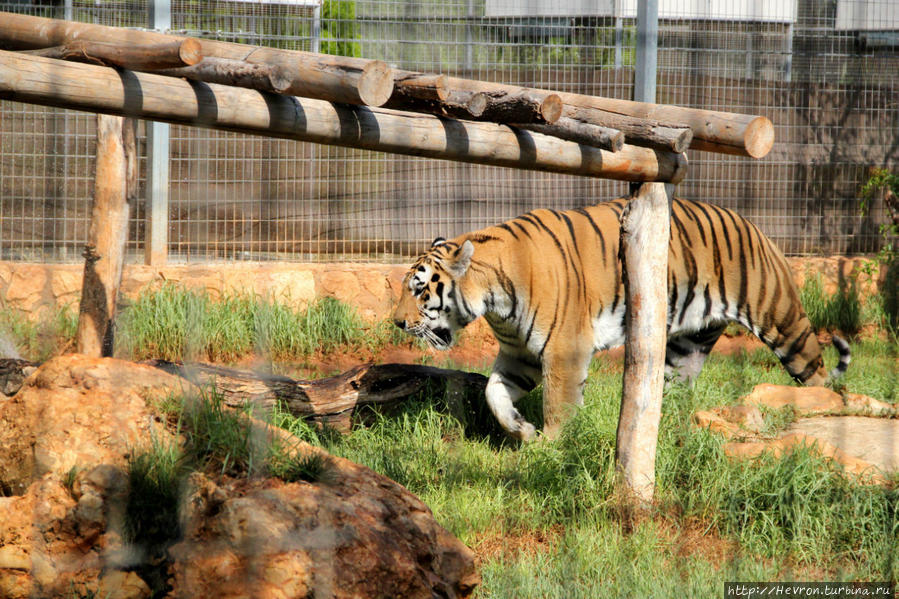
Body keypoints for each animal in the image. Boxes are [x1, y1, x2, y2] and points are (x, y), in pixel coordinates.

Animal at [392, 197, 852, 440]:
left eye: (419, 289)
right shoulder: (518, 354)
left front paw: (550, 446)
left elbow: (558, 404)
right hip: (688, 346)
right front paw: (521, 429)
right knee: (670, 392)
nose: (396, 323)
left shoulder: (564, 350)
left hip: (782, 321)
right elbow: (494, 393)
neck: (493, 299)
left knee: (817, 375)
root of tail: (757, 227)